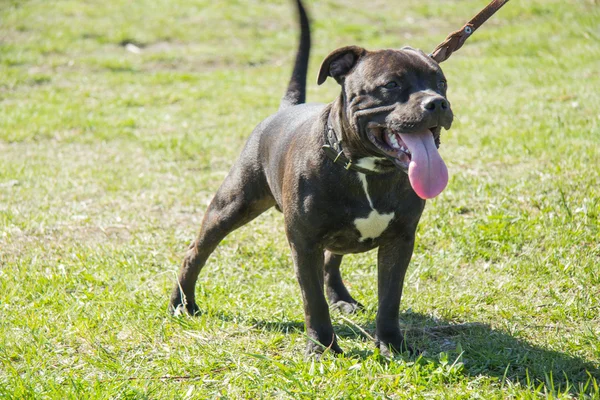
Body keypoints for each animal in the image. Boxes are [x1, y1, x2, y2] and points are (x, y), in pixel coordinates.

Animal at [168, 0, 450, 356]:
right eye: (391, 85)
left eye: (441, 83)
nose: (437, 102)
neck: (365, 170)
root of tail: (286, 108)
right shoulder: (304, 243)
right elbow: (313, 299)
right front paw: (322, 347)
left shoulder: (400, 241)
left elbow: (389, 298)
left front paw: (391, 344)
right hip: (232, 205)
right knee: (197, 250)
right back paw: (183, 302)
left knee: (332, 260)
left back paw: (342, 298)